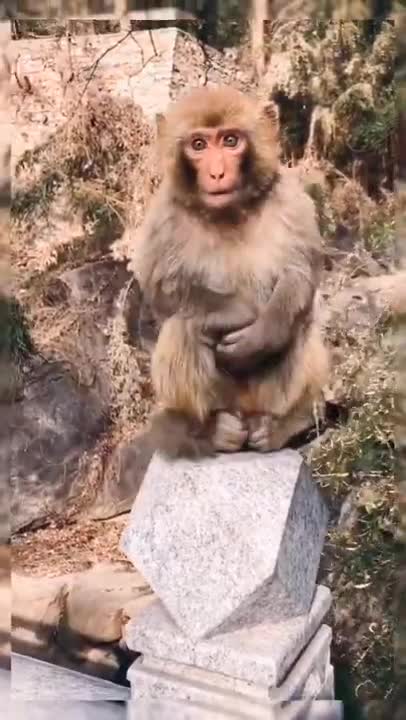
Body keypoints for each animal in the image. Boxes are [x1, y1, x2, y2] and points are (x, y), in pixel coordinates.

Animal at [129, 85, 330, 459]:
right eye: (198, 145)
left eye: (231, 140)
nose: (218, 173)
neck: (229, 212)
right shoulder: (164, 213)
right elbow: (161, 287)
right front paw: (237, 313)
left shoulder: (287, 195)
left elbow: (301, 270)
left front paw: (262, 333)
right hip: (222, 398)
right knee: (184, 326)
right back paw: (207, 432)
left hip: (266, 395)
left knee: (303, 317)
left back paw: (285, 425)